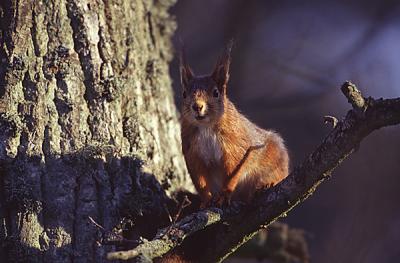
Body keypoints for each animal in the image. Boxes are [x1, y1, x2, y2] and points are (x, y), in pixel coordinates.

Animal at [180, 42, 290, 208]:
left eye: (216, 92)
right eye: (185, 94)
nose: (197, 106)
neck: (206, 127)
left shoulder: (235, 145)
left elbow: (233, 170)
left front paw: (225, 194)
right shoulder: (192, 152)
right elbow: (200, 180)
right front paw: (206, 200)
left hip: (275, 161)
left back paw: (265, 185)